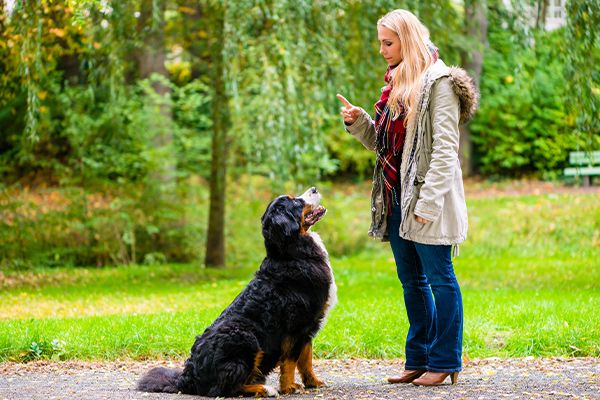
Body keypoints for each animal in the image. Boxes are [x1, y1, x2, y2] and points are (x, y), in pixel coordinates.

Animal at [139, 188, 338, 396]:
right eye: (296, 202)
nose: (314, 189)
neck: (292, 254)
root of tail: (188, 377)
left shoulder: (308, 327)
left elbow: (306, 360)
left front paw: (313, 382)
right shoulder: (297, 326)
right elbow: (291, 361)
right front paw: (289, 387)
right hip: (246, 337)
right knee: (226, 388)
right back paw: (265, 389)